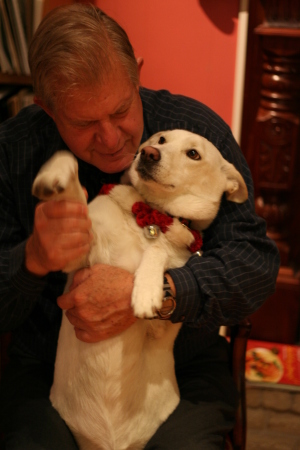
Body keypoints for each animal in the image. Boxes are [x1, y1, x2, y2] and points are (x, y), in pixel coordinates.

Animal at [32, 129, 248, 450]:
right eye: (160, 140)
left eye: (193, 154)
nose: (148, 153)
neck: (151, 216)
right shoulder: (76, 253)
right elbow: (69, 163)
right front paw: (54, 174)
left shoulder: (162, 327)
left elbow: (158, 253)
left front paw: (146, 291)